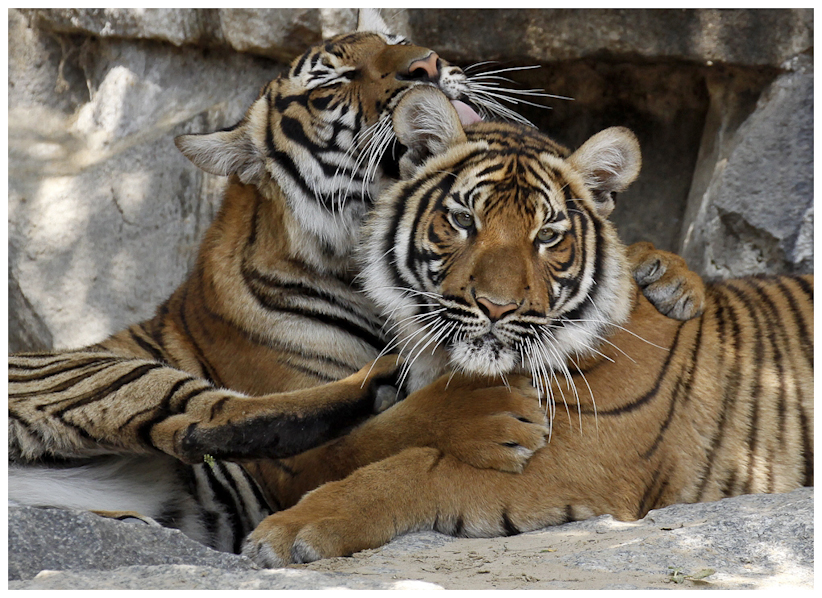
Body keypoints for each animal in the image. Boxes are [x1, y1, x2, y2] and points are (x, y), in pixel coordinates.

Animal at [240, 86, 813, 567]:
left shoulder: (580, 456)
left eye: (548, 236)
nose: (497, 307)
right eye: (463, 220)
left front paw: (294, 528)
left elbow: (419, 468)